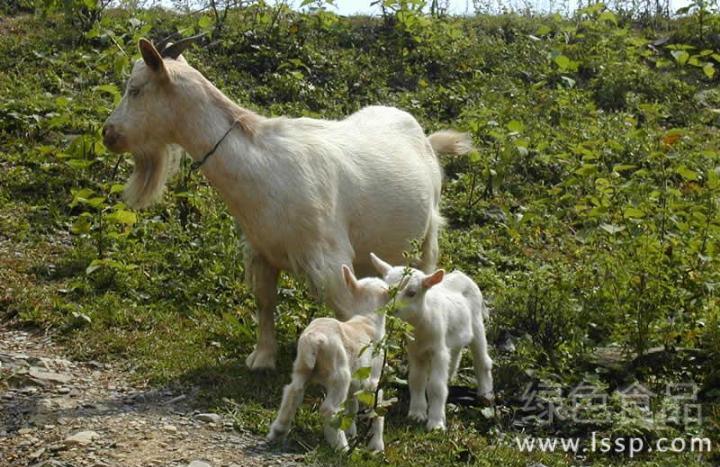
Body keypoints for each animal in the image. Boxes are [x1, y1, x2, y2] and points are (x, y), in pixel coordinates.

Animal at [101, 36, 472, 372]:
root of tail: (426, 138)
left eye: (135, 89)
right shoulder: (261, 250)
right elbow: (265, 302)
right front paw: (262, 358)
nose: (108, 134)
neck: (263, 167)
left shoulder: (330, 260)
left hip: (428, 236)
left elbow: (348, 312)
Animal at [266, 266, 388, 454]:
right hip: (340, 374)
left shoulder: (356, 384)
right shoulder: (373, 380)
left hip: (302, 368)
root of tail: (314, 340)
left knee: (292, 391)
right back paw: (342, 448)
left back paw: (278, 431)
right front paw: (377, 446)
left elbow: (352, 407)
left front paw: (351, 431)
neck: (367, 318)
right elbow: (377, 410)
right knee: (328, 409)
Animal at [368, 254, 492, 434]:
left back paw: (486, 394)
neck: (421, 325)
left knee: (482, 360)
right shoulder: (415, 351)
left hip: (477, 324)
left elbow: (436, 386)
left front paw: (436, 423)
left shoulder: (438, 350)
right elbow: (416, 379)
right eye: (387, 290)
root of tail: (461, 274)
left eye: (412, 293)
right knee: (455, 354)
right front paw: (417, 413)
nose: (390, 312)